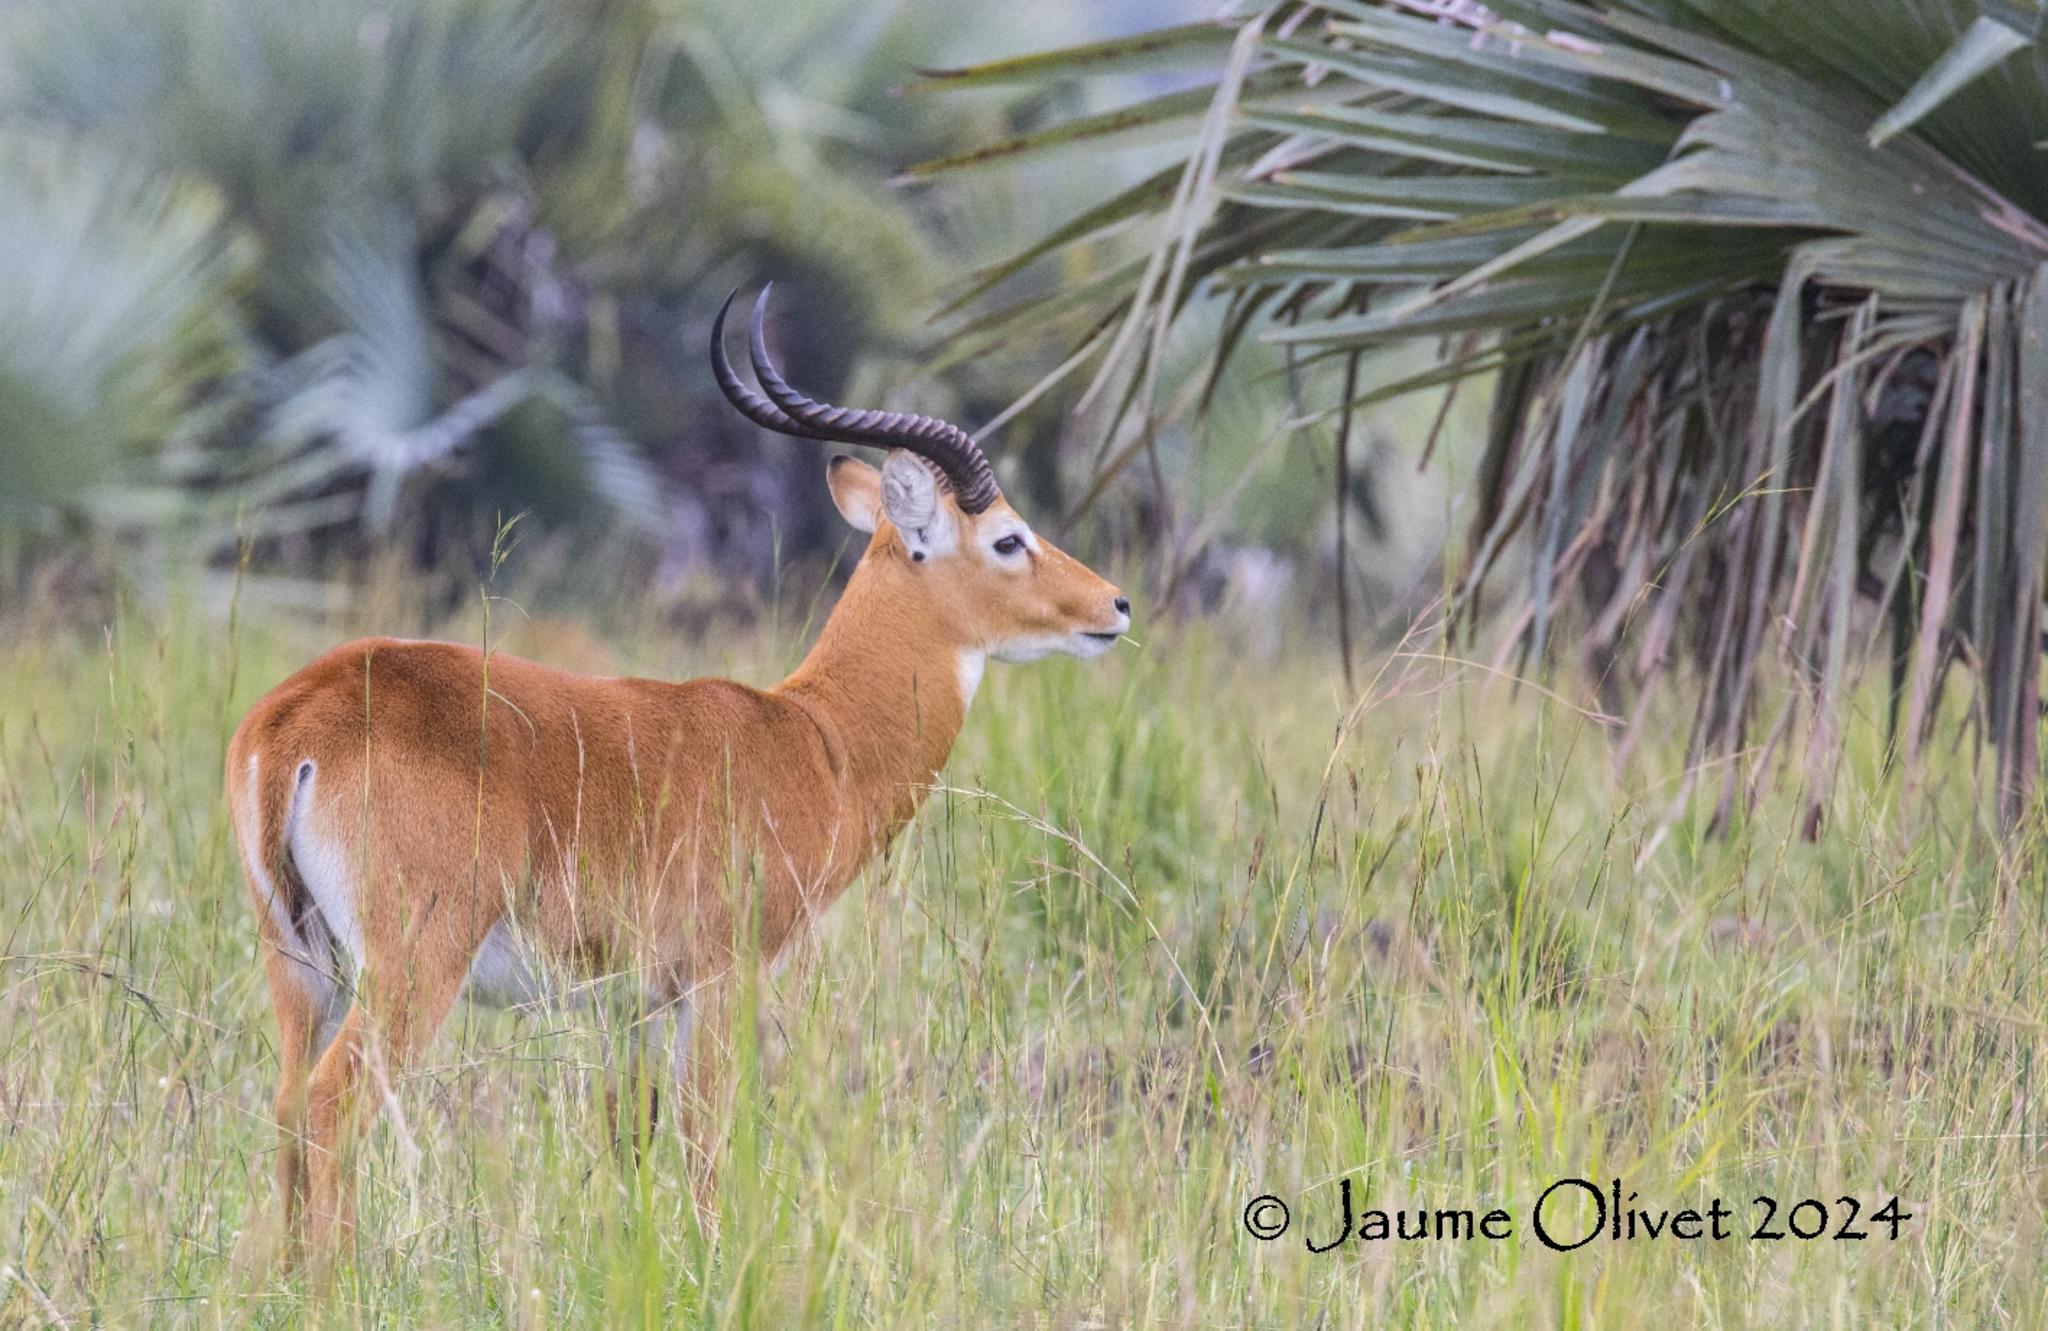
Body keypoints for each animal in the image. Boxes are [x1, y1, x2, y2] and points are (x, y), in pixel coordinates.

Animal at [234, 284, 1146, 1253]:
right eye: (1010, 539)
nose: (1115, 604)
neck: (815, 739)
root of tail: (300, 716)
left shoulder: (631, 1009)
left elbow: (629, 1146)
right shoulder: (717, 981)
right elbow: (707, 1143)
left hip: (302, 967)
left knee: (286, 1106)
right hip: (410, 970)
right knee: (331, 1105)